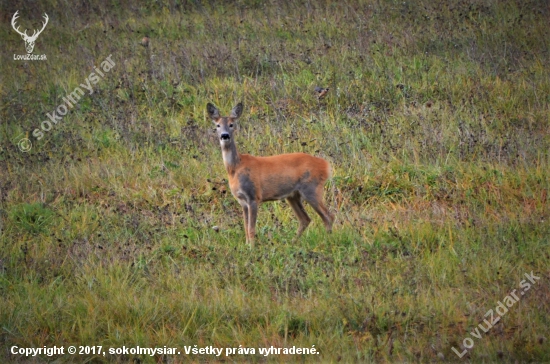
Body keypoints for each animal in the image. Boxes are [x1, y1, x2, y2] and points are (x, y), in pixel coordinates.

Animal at [208, 102, 334, 247]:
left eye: (231, 124)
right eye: (217, 125)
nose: (225, 135)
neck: (235, 168)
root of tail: (326, 165)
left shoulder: (254, 196)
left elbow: (251, 228)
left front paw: (251, 248)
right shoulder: (242, 201)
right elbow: (246, 227)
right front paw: (247, 246)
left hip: (311, 188)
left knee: (328, 216)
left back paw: (328, 241)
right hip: (293, 195)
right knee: (305, 219)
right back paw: (292, 242)